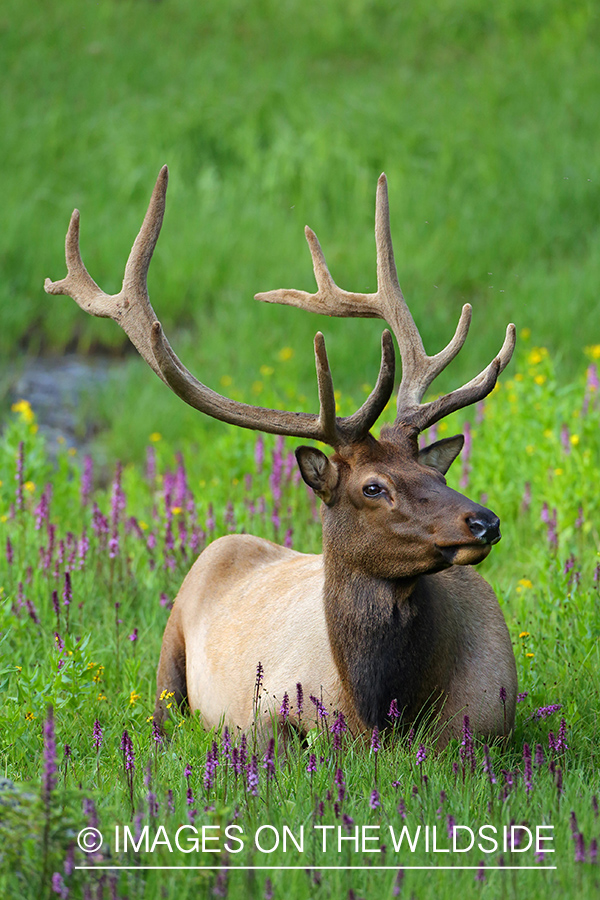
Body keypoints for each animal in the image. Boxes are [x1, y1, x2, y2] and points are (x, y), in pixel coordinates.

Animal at [44, 167, 516, 744]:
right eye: (373, 486)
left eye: (435, 472)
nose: (484, 521)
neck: (382, 710)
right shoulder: (267, 710)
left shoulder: (493, 720)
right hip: (168, 653)